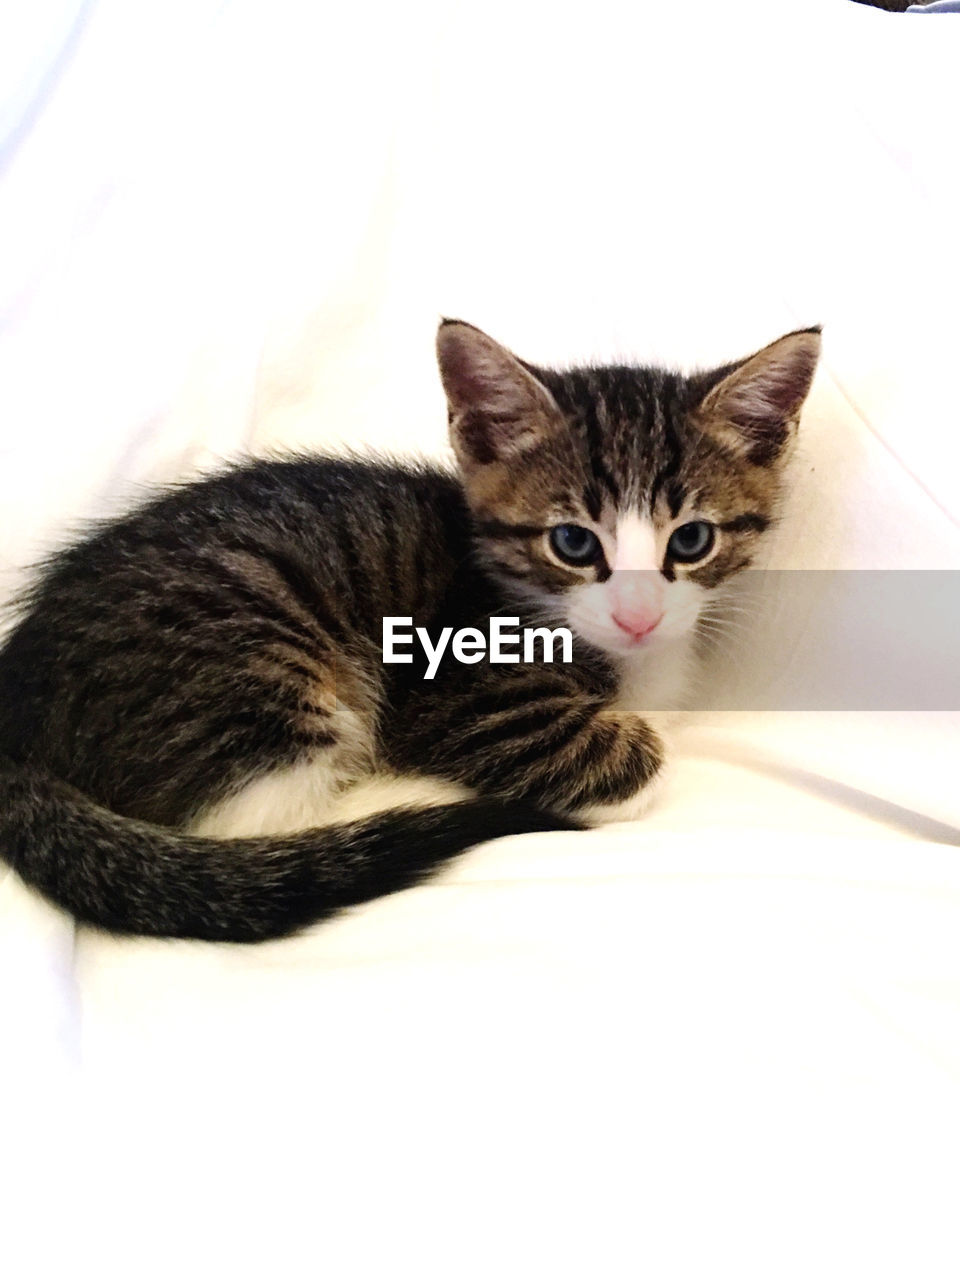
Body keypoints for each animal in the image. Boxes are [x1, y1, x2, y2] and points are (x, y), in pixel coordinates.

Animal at [0, 320, 819, 942]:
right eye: (573, 544)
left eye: (692, 540)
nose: (639, 614)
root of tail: (18, 704)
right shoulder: (459, 691)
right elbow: (639, 758)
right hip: (246, 665)